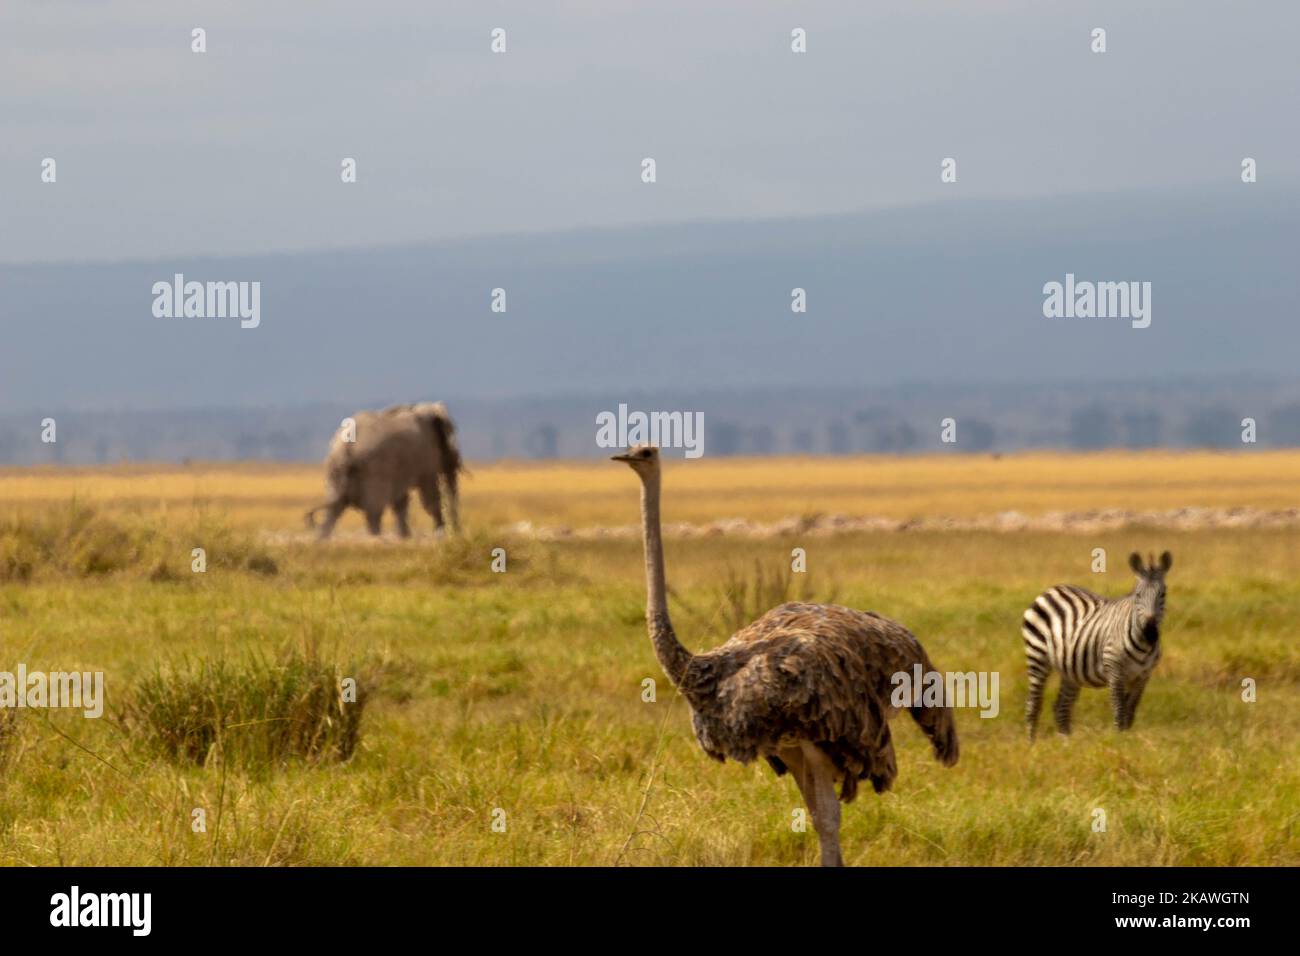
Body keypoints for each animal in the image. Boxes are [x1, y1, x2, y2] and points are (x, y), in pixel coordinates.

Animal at [305, 402, 463, 539]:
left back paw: (322, 539)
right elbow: (429, 495)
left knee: (335, 510)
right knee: (373, 512)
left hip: (335, 471)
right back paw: (375, 538)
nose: (456, 533)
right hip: (374, 470)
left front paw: (405, 537)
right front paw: (440, 534)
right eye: (450, 435)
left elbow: (400, 500)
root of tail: (346, 449)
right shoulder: (426, 455)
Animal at [1021, 551, 1172, 738]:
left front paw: (1127, 738)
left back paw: (1066, 742)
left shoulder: (1142, 677)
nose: (1150, 632)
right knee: (1033, 704)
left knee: (1061, 708)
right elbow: (1119, 710)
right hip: (1036, 655)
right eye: (1137, 595)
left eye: (1163, 594)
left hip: (1070, 668)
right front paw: (1119, 740)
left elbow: (1130, 712)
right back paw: (1032, 743)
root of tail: (1051, 589)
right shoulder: (1115, 672)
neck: (1143, 646)